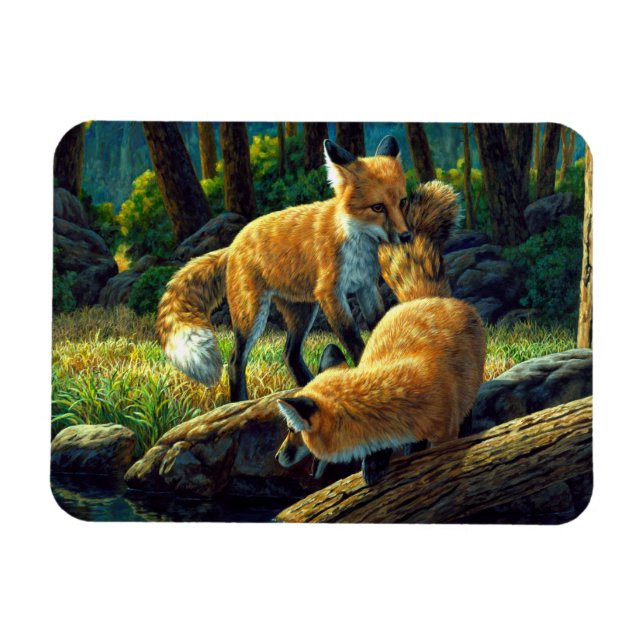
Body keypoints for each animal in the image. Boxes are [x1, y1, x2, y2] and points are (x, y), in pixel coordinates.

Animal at [156, 135, 411, 402]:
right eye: (378, 207)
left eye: (402, 202)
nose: (407, 236)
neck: (356, 240)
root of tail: (233, 244)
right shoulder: (331, 293)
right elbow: (353, 340)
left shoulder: (366, 287)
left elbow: (379, 322)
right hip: (253, 315)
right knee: (236, 361)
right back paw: (240, 400)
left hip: (303, 311)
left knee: (289, 354)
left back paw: (305, 388)